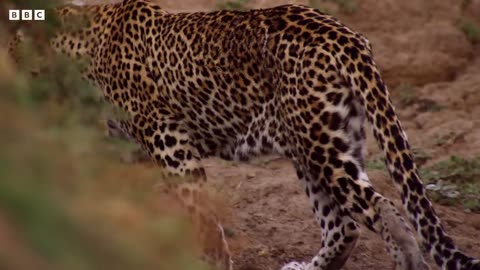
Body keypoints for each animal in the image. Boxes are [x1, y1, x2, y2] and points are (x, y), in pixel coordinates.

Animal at [6, 0, 480, 270]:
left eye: (13, 51)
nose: (11, 83)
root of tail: (345, 36)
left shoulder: (170, 145)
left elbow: (203, 221)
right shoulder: (127, 148)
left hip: (321, 147)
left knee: (383, 212)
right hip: (323, 142)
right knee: (344, 227)